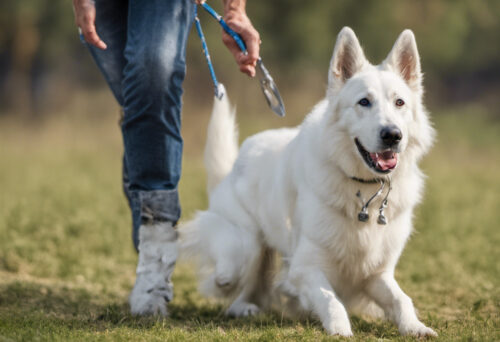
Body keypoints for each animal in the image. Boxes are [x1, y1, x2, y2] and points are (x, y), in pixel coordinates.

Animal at [181, 26, 438, 336]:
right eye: (364, 102)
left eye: (399, 103)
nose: (393, 135)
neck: (365, 191)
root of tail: (234, 165)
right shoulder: (305, 268)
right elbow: (330, 299)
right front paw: (340, 330)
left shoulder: (377, 274)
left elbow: (402, 299)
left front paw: (415, 327)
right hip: (247, 248)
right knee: (232, 281)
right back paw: (238, 298)